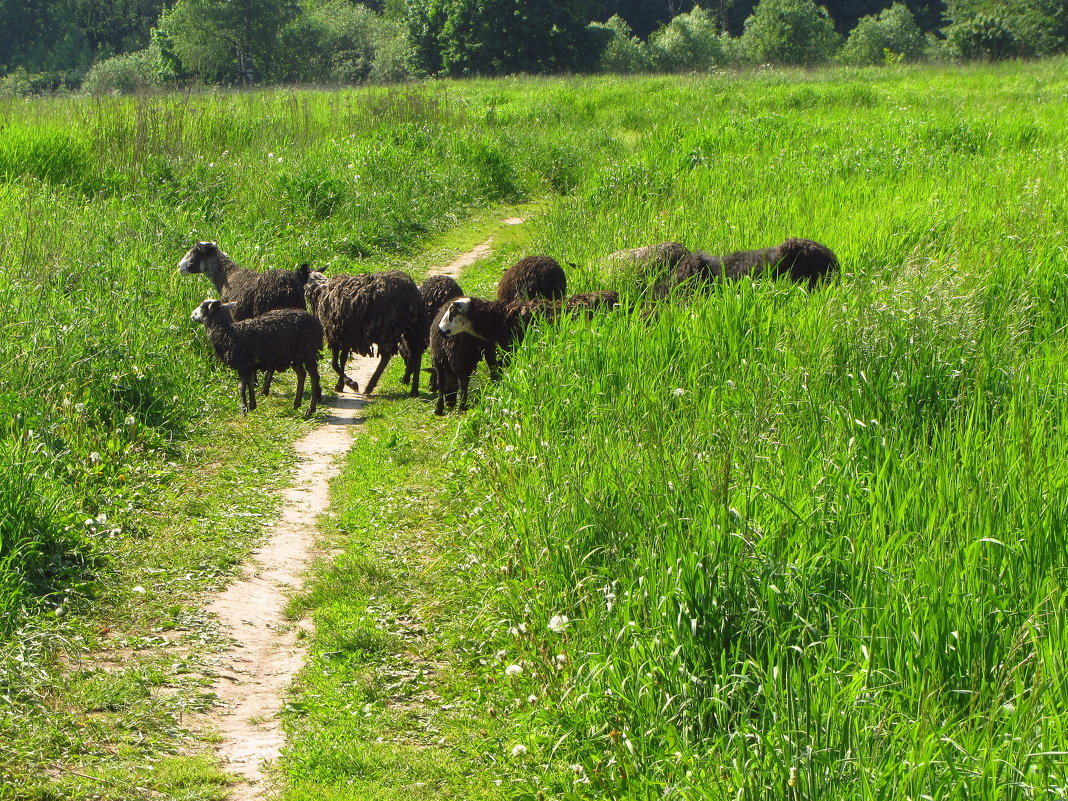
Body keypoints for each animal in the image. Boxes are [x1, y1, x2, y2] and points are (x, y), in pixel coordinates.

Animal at [303, 270, 422, 399]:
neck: (320, 290)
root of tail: (409, 290)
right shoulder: (345, 335)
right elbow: (343, 359)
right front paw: (341, 384)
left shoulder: (334, 335)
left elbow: (334, 363)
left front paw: (350, 383)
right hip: (412, 328)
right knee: (416, 356)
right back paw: (414, 390)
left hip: (387, 328)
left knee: (386, 357)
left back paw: (370, 386)